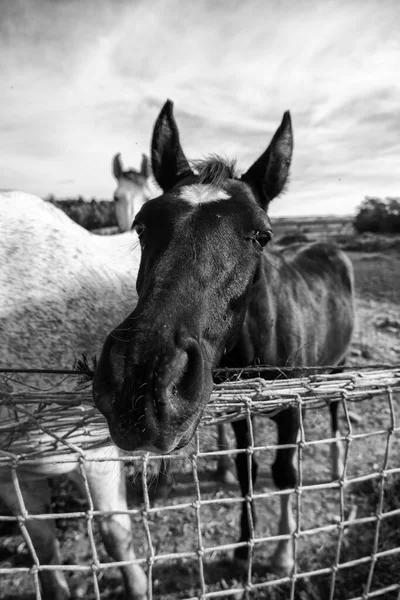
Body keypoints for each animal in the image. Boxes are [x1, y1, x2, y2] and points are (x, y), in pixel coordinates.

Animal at [93, 101, 354, 576]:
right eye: (141, 226)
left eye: (262, 235)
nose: (144, 382)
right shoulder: (240, 414)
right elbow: (247, 471)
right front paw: (244, 548)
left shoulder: (292, 409)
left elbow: (286, 473)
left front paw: (283, 552)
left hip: (336, 366)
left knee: (334, 407)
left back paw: (337, 463)